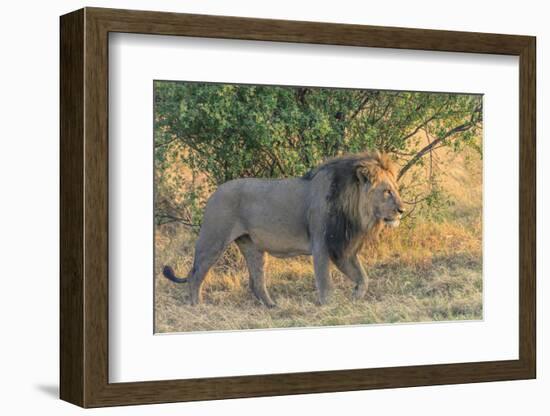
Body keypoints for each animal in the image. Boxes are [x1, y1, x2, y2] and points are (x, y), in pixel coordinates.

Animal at [164, 151, 406, 308]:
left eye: (396, 189)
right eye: (387, 191)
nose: (402, 210)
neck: (354, 209)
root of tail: (215, 192)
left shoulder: (342, 247)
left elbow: (363, 277)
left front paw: (356, 297)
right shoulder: (322, 244)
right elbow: (325, 282)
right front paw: (329, 306)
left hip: (252, 247)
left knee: (256, 283)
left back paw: (273, 307)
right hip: (214, 241)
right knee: (195, 275)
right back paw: (197, 307)